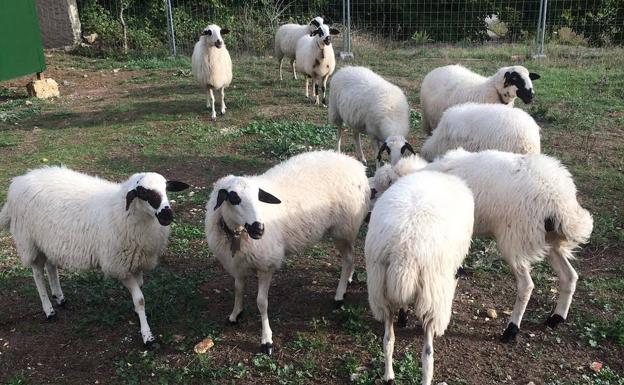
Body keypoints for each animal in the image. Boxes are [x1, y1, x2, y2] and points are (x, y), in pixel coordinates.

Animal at [0, 165, 189, 344]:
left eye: (166, 189)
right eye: (143, 193)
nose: (167, 216)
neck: (122, 210)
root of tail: (19, 180)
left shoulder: (136, 263)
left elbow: (140, 291)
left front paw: (138, 315)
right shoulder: (119, 266)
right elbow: (140, 299)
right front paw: (147, 335)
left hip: (47, 241)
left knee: (51, 266)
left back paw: (60, 297)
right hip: (29, 241)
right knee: (38, 274)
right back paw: (49, 310)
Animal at [205, 150, 370, 354]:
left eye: (259, 197)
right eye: (234, 198)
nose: (259, 228)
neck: (237, 233)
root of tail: (354, 164)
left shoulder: (266, 264)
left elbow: (261, 302)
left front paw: (266, 339)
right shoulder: (237, 264)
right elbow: (238, 289)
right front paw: (235, 314)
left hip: (343, 227)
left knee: (348, 259)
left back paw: (339, 295)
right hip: (346, 230)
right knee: (352, 254)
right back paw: (349, 279)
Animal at [370, 148, 596, 340]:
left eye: (376, 190)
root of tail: (560, 201)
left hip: (515, 238)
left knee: (526, 286)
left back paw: (511, 330)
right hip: (550, 240)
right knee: (569, 276)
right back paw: (556, 318)